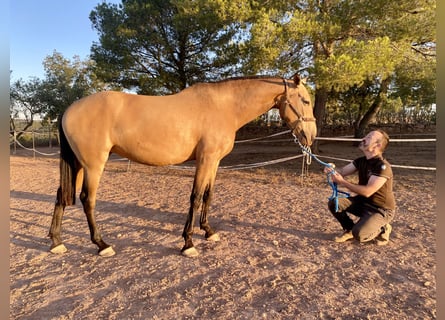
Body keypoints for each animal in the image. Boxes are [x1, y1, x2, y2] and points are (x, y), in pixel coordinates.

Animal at [48, 74, 316, 258]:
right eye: (305, 100)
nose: (311, 135)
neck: (224, 107)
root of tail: (69, 109)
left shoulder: (215, 162)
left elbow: (208, 195)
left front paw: (208, 231)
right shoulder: (205, 159)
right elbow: (195, 198)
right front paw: (188, 243)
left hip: (78, 164)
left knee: (61, 195)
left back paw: (56, 242)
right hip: (94, 165)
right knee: (87, 199)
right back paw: (102, 245)